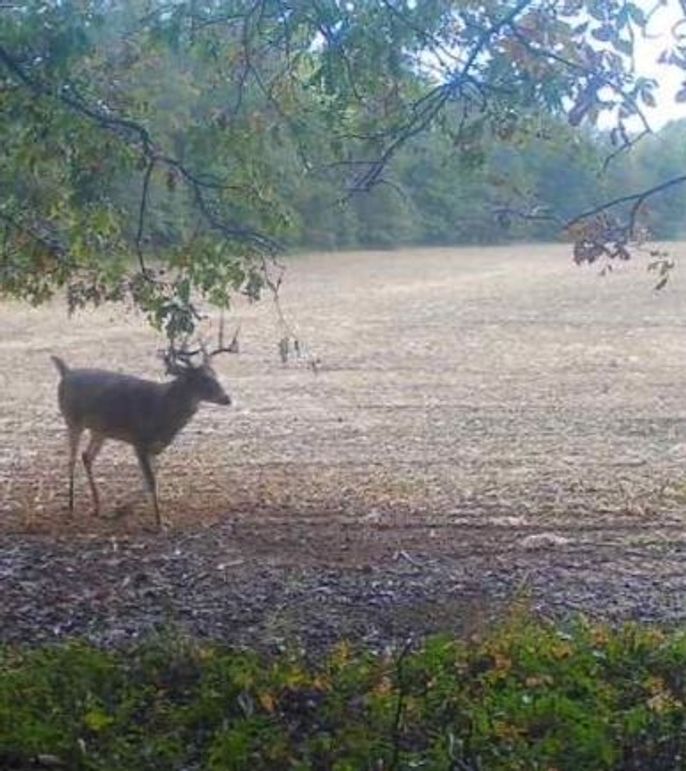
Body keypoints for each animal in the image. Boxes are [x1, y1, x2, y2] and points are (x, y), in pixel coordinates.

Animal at [50, 331, 237, 529]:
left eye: (215, 374)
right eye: (202, 379)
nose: (227, 398)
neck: (160, 410)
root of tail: (66, 372)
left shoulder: (154, 446)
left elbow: (152, 478)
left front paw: (124, 510)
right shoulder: (139, 440)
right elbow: (151, 481)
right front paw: (159, 522)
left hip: (100, 430)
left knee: (86, 456)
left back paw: (97, 506)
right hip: (72, 419)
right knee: (71, 459)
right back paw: (71, 505)